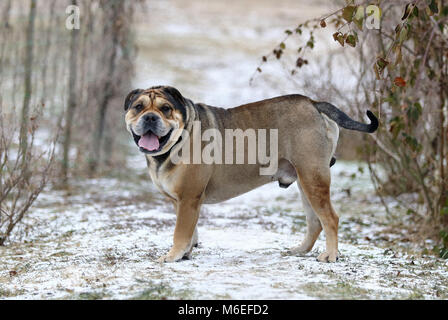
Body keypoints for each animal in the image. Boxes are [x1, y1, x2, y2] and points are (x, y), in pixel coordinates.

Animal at [123, 85, 378, 262]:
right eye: (138, 107)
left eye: (165, 109)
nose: (150, 117)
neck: (179, 136)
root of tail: (313, 103)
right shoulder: (182, 201)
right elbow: (190, 231)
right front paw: (185, 253)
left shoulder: (188, 198)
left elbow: (180, 231)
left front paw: (172, 256)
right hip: (306, 180)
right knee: (315, 220)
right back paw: (300, 250)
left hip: (313, 177)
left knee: (330, 218)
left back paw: (331, 255)